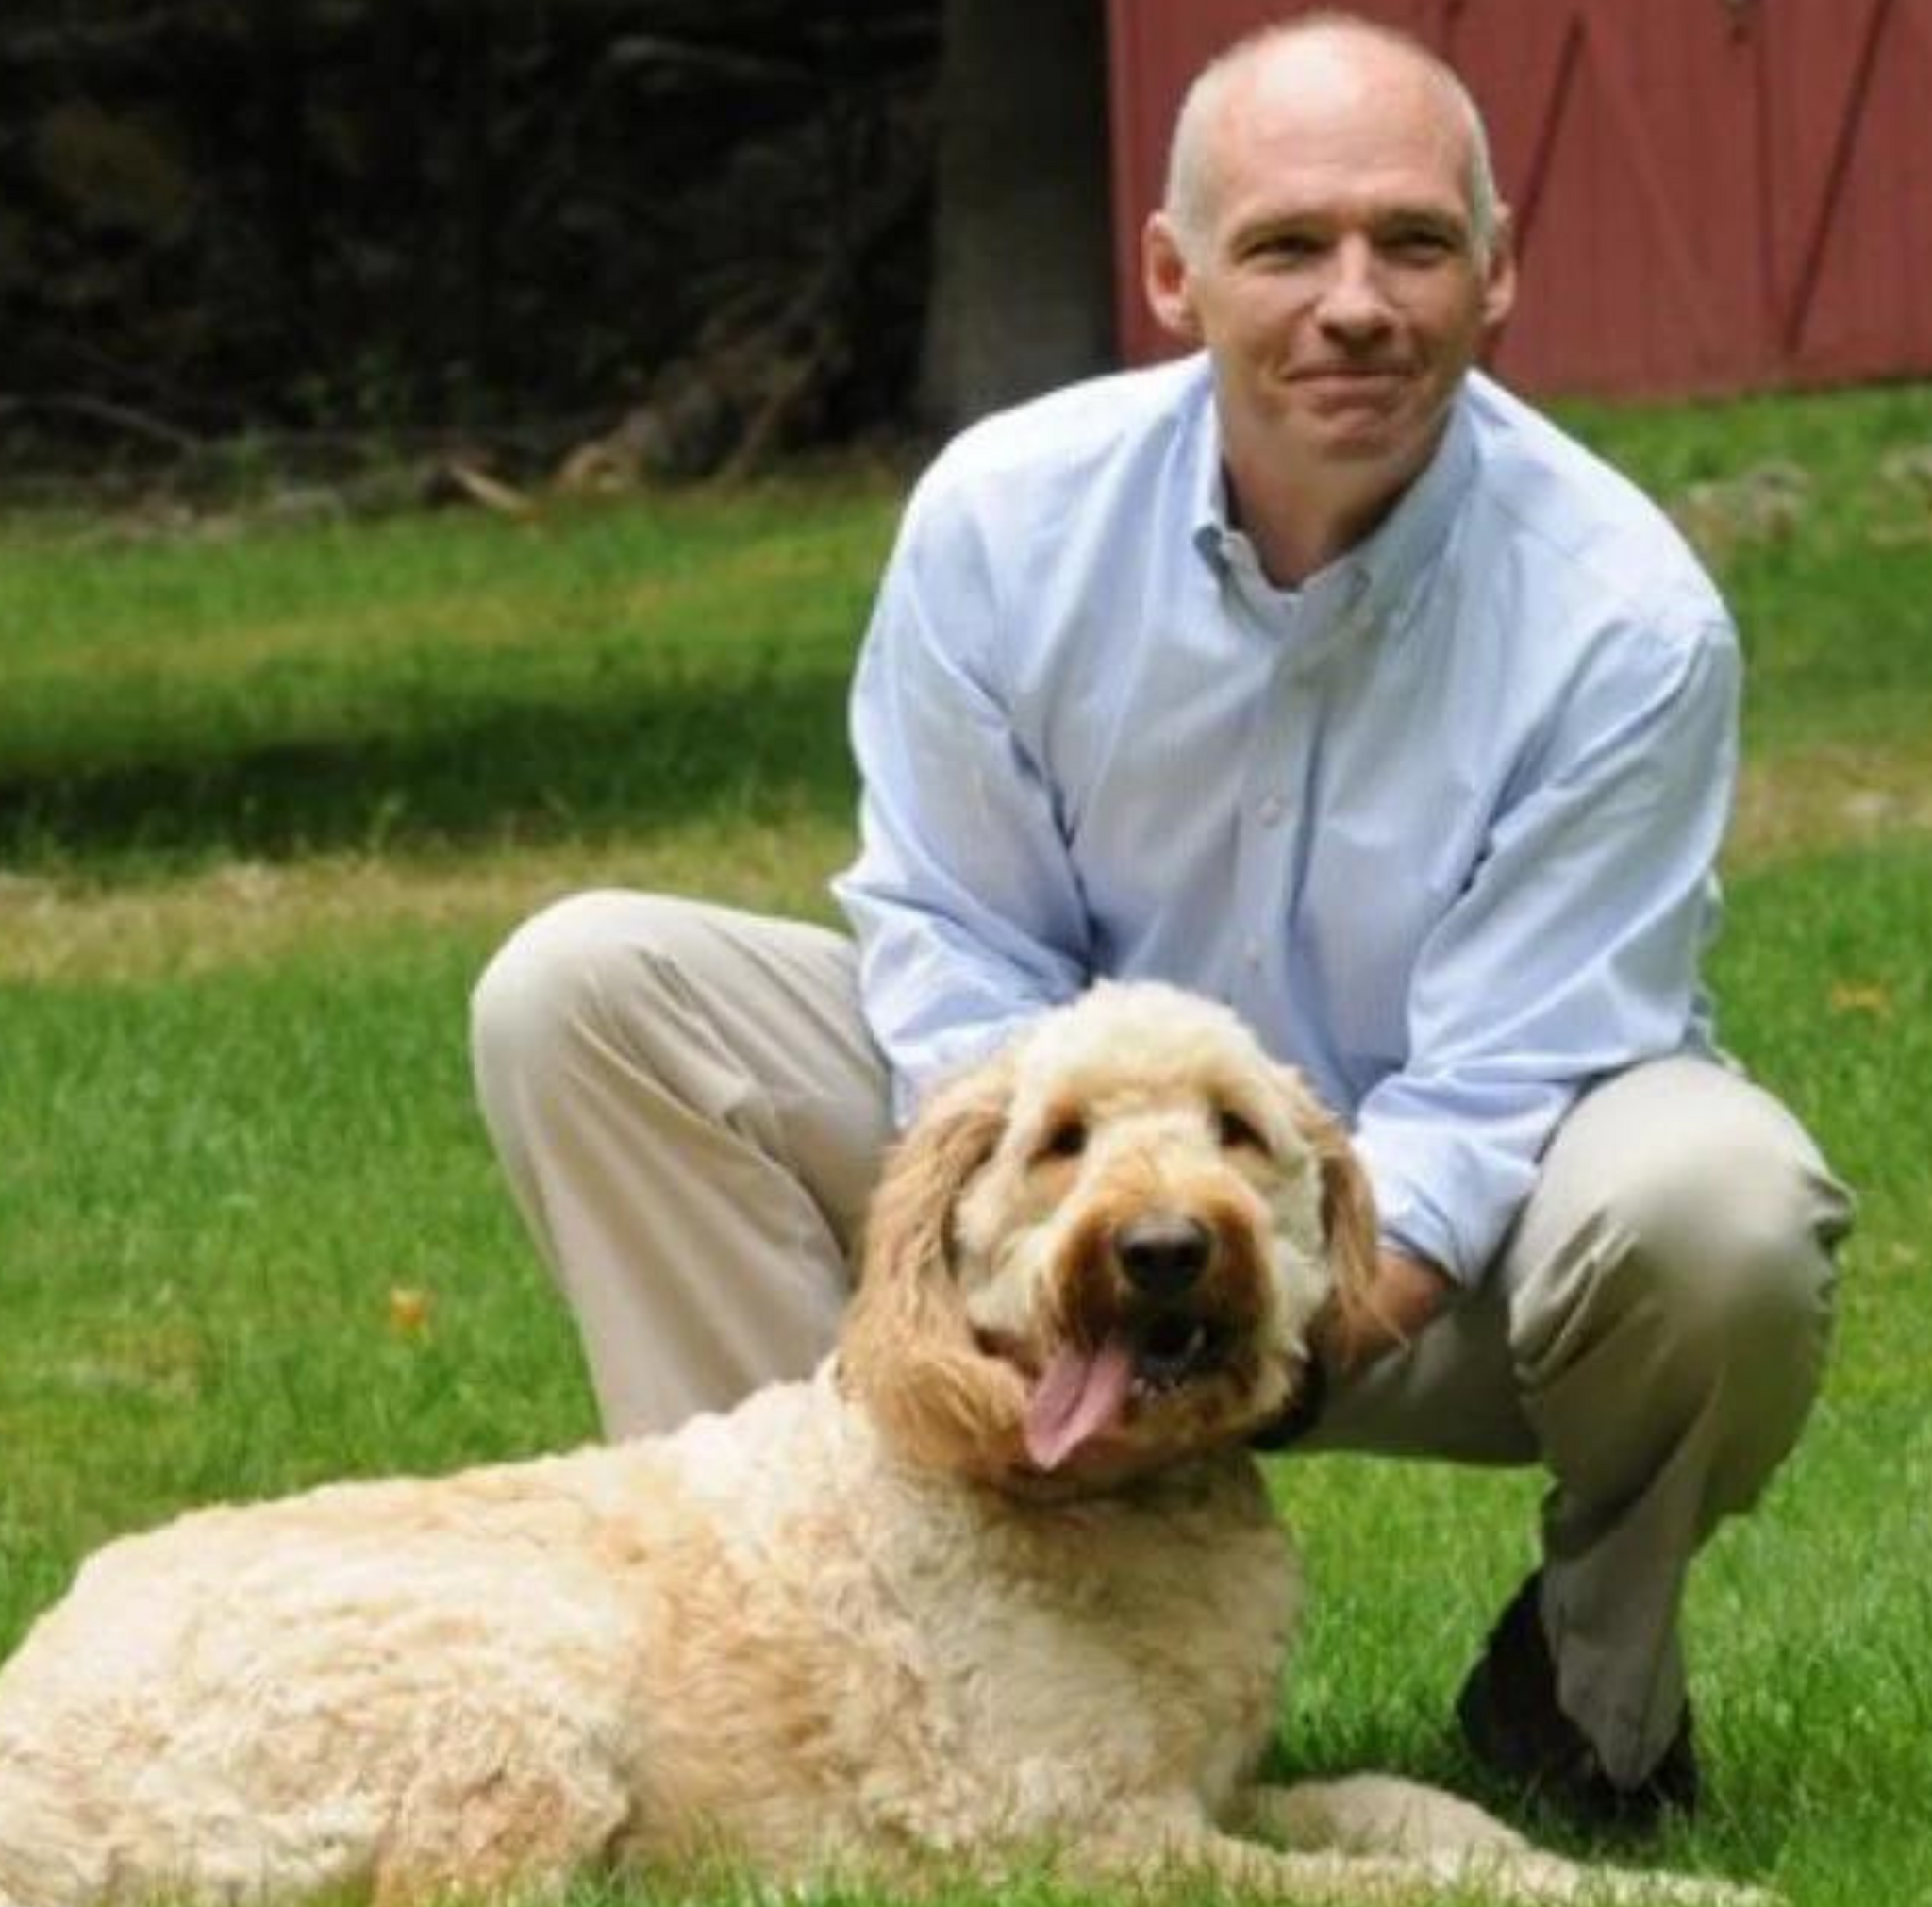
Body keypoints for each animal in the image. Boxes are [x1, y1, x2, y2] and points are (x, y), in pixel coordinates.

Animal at [0, 985, 1769, 1907]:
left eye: (1235, 1133)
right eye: (1059, 1143)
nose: (1162, 1251)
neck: (1100, 1504)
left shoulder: (1210, 1787)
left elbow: (1423, 1816)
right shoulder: (1092, 1831)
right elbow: (1402, 1886)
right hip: (514, 1675)